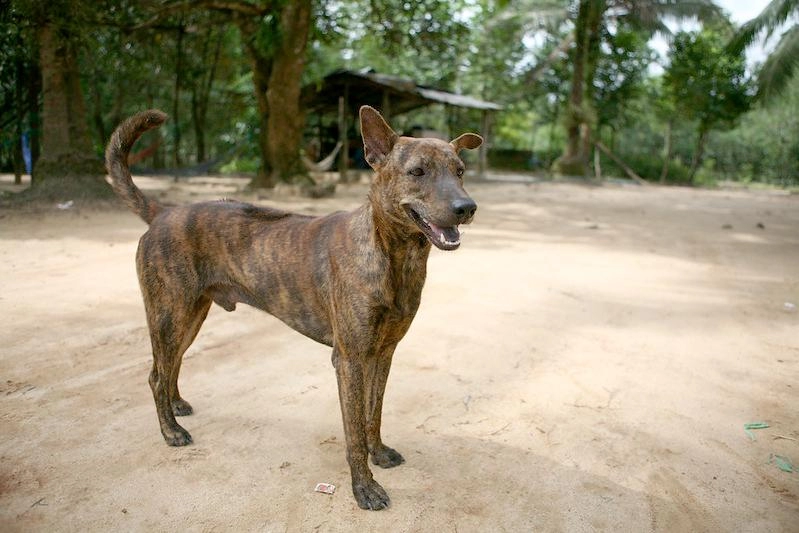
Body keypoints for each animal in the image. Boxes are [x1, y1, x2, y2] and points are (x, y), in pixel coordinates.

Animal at [106, 106, 482, 510]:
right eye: (417, 172)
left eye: (460, 171)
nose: (467, 208)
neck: (392, 256)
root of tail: (163, 213)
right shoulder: (350, 359)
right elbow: (353, 433)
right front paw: (364, 487)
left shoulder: (383, 353)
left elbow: (373, 414)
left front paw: (378, 453)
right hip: (170, 314)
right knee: (155, 375)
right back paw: (171, 431)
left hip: (190, 316)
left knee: (170, 364)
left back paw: (176, 406)